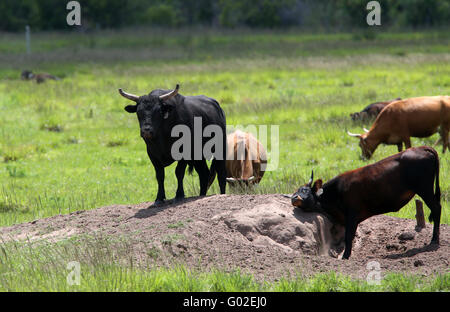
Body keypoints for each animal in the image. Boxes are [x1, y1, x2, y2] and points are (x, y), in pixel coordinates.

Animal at [290, 147, 442, 260]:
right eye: (296, 190)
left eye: (305, 190)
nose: (294, 197)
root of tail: (421, 148)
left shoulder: (352, 215)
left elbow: (349, 237)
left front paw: (345, 256)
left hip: (425, 189)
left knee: (437, 208)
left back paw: (434, 240)